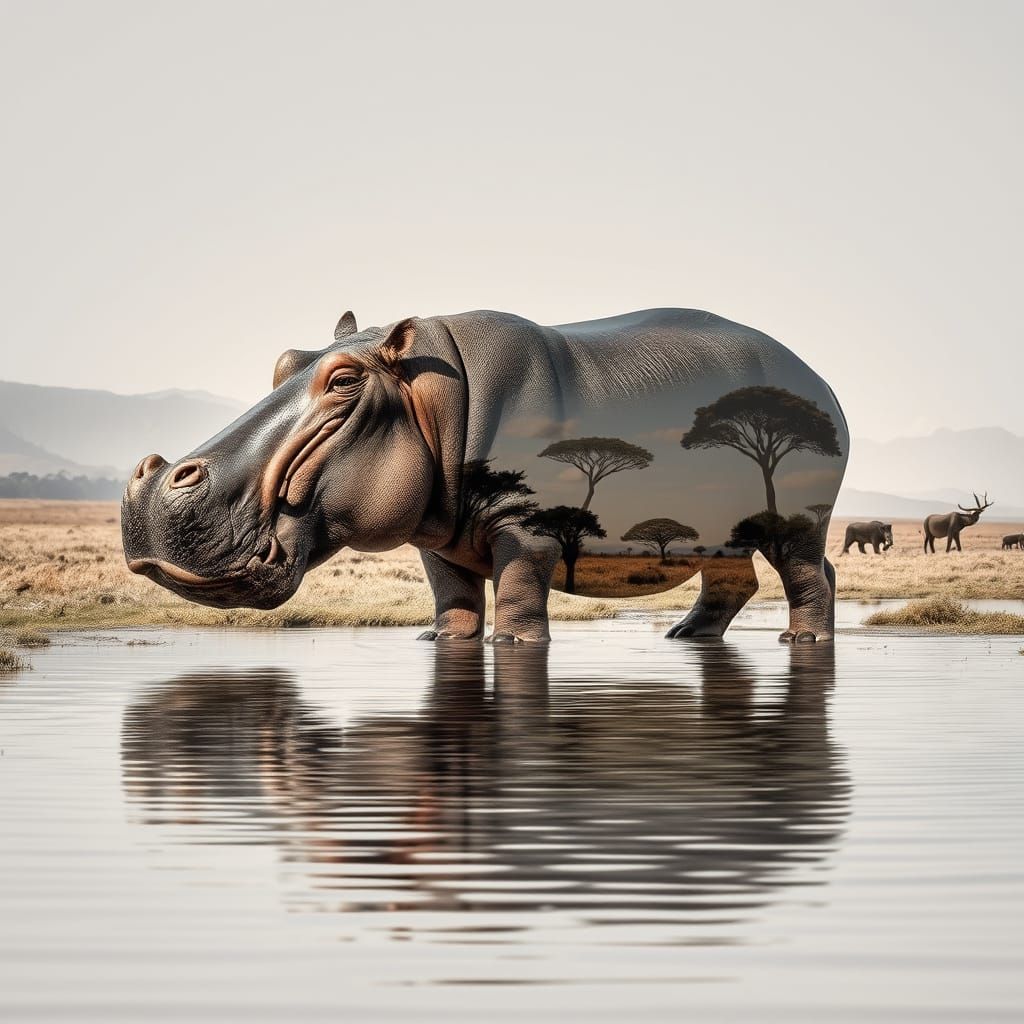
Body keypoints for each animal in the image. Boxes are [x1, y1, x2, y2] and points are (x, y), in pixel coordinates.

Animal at [122, 308, 849, 643]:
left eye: (344, 380)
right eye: (284, 360)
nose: (160, 476)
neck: (431, 395)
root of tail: (815, 376)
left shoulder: (525, 529)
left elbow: (521, 590)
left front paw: (515, 644)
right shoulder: (435, 533)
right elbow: (453, 594)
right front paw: (440, 641)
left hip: (795, 518)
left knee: (804, 572)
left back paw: (802, 638)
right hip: (730, 530)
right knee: (745, 577)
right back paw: (684, 636)